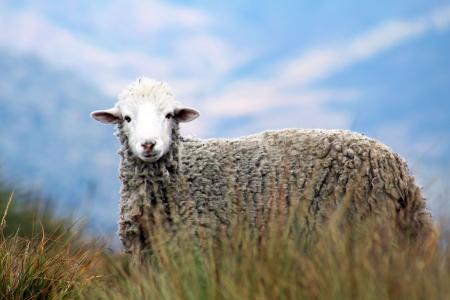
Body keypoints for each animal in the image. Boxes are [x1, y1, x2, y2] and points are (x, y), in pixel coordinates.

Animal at [90, 78, 432, 258]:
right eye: (127, 118)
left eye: (169, 115)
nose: (149, 145)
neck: (182, 175)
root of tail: (399, 168)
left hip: (361, 228)